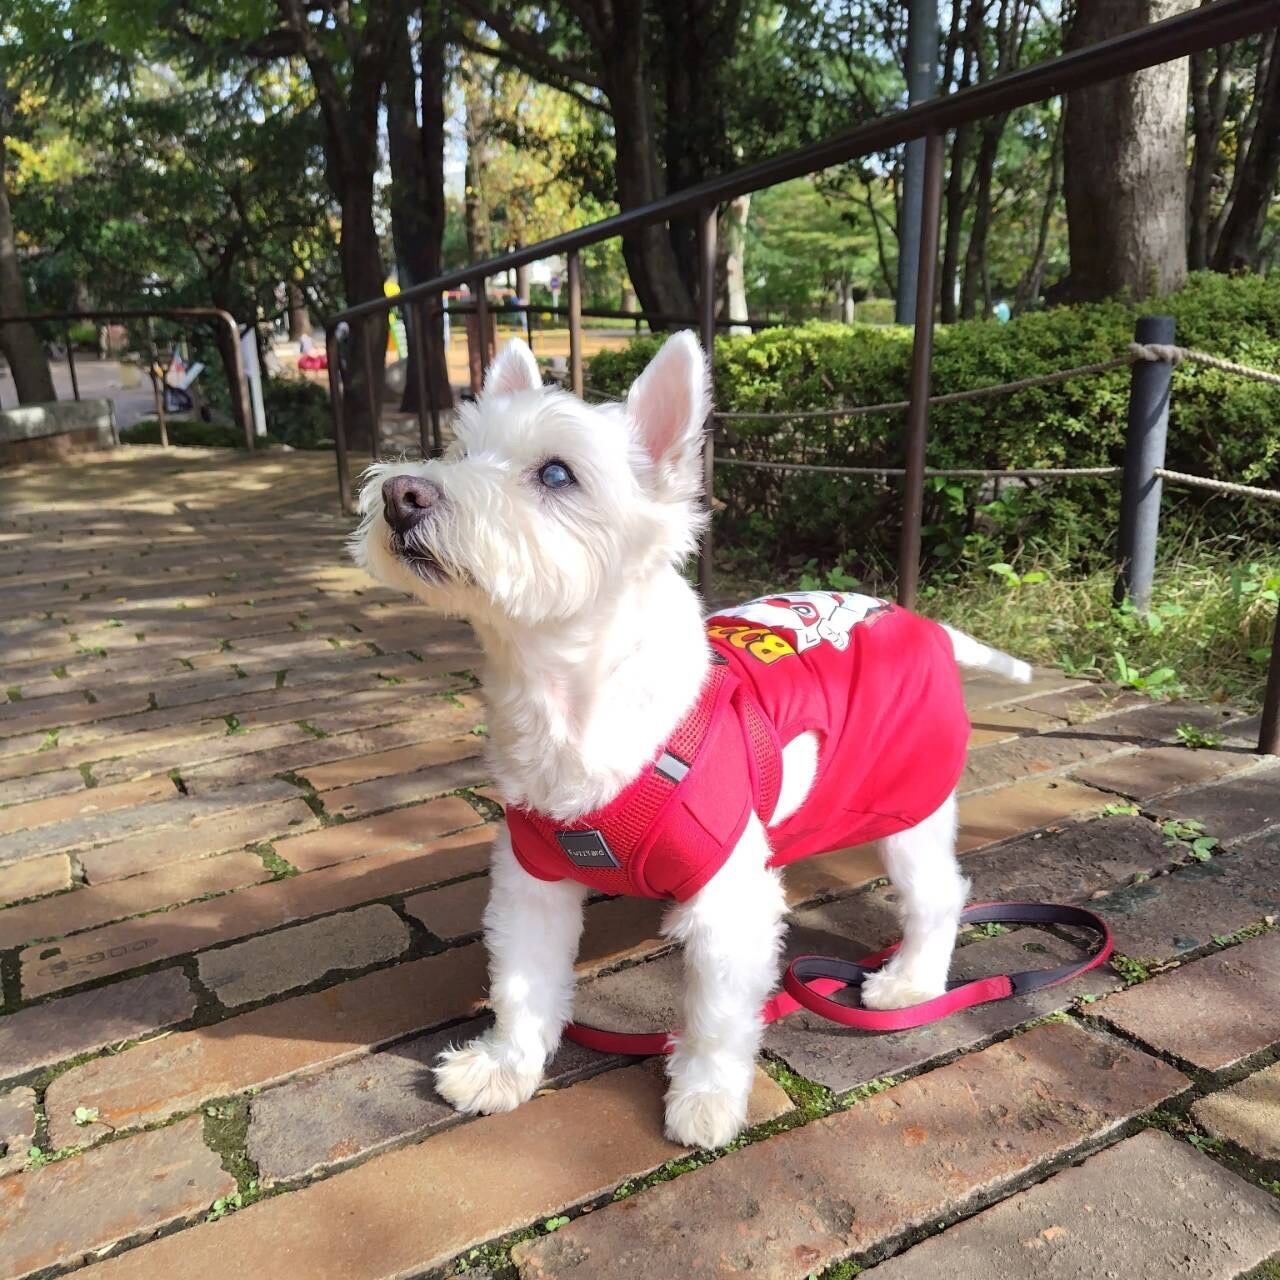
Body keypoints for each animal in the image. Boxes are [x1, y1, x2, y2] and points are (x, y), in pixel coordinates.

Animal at [351, 333, 1031, 1150]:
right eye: (461, 450)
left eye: (556, 473)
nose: (402, 494)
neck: (570, 701)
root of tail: (928, 625)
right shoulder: (531, 879)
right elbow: (523, 984)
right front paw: (504, 1069)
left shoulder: (729, 903)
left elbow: (715, 1018)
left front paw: (705, 1100)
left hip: (907, 805)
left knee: (938, 894)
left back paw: (910, 982)